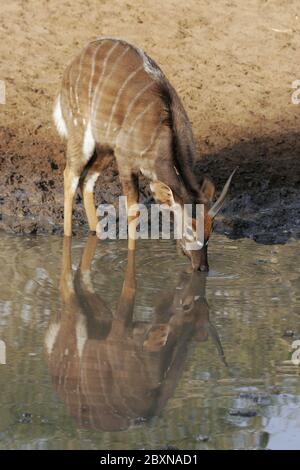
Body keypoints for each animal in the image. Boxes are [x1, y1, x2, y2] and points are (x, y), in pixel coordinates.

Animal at [55, 36, 236, 270]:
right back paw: (68, 238)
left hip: (105, 147)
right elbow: (134, 211)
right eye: (189, 230)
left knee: (87, 179)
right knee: (71, 174)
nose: (201, 267)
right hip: (81, 130)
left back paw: (98, 233)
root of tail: (79, 56)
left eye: (210, 230)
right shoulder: (126, 161)